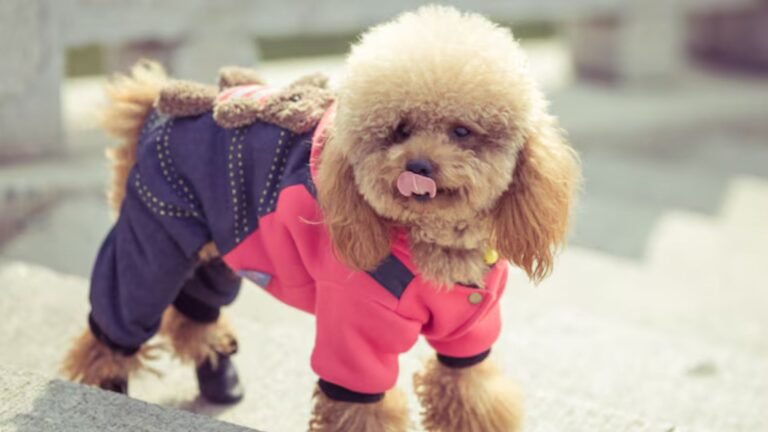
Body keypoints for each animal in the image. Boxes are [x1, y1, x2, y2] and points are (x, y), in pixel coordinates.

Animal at [63, 5, 580, 430]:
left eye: (462, 131)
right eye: (398, 131)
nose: (417, 167)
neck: (433, 246)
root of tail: (155, 111)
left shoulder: (470, 334)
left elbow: (470, 392)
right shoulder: (353, 332)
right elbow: (360, 405)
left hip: (218, 245)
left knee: (195, 310)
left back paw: (219, 376)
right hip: (154, 239)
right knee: (118, 318)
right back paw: (104, 385)